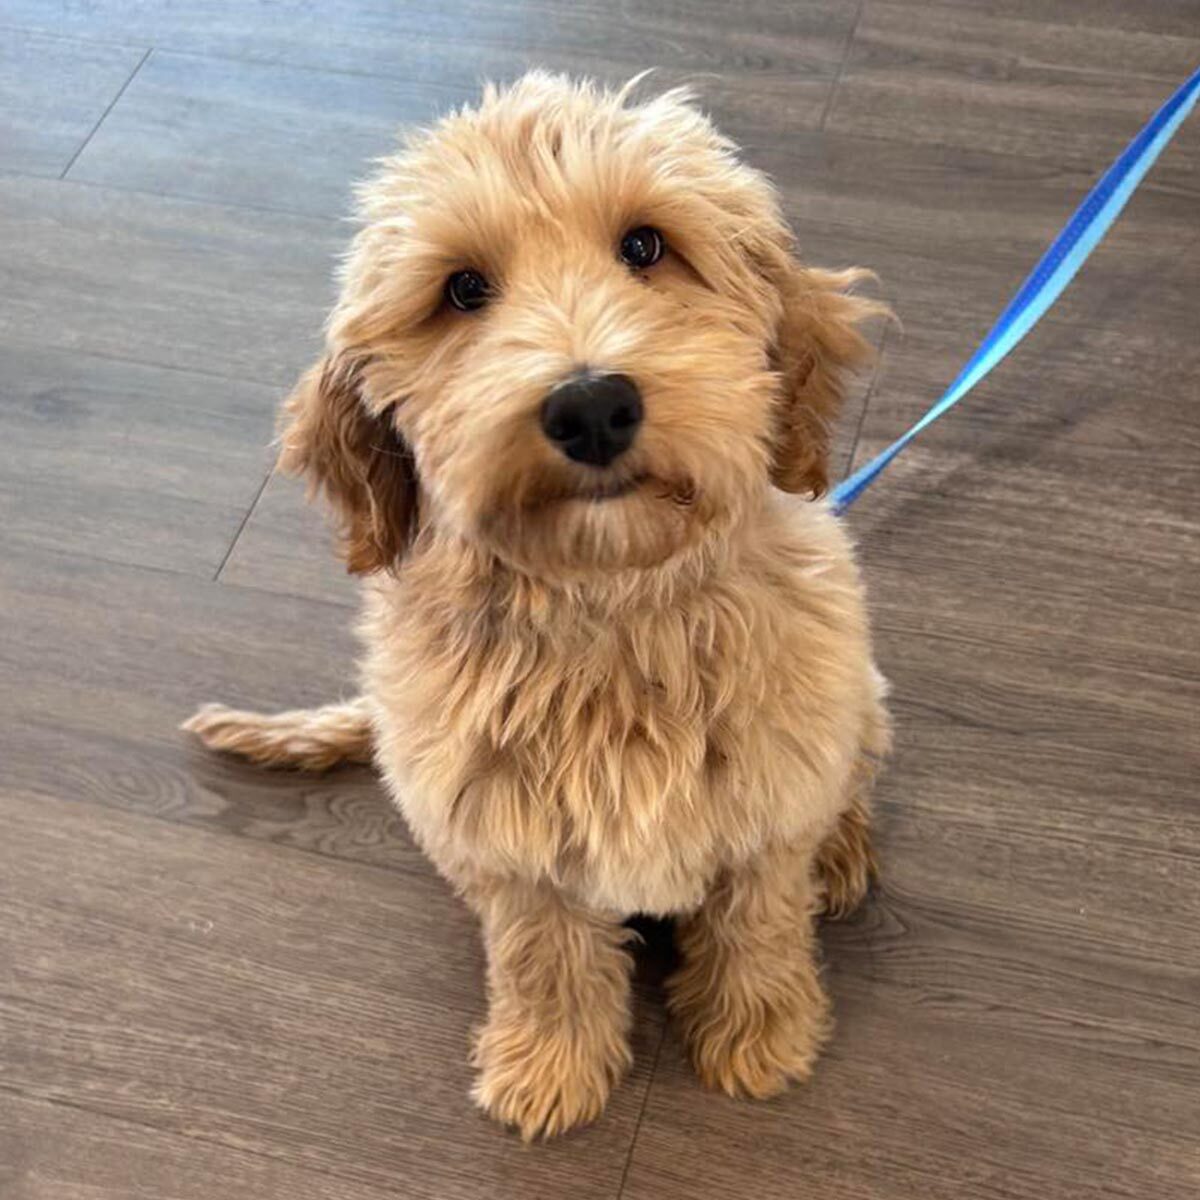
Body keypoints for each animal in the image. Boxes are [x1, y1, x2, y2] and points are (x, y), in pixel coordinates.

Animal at [182, 70, 888, 1137]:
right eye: (463, 290)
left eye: (645, 246)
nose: (591, 405)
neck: (614, 604)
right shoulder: (507, 841)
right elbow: (542, 956)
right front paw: (552, 1066)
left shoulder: (767, 801)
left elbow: (757, 923)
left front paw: (760, 1036)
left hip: (860, 699)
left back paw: (842, 852)